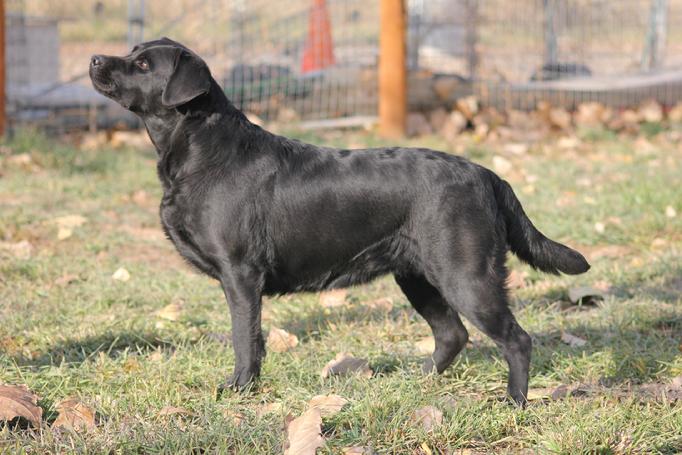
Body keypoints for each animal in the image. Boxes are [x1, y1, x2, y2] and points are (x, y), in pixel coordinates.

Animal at [90, 37, 588, 404]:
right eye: (132, 52)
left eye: (142, 64)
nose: (95, 59)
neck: (202, 150)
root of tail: (488, 174)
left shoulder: (241, 274)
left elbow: (245, 338)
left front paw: (239, 389)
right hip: (417, 276)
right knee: (452, 334)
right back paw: (415, 380)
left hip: (466, 274)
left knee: (516, 339)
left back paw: (515, 402)